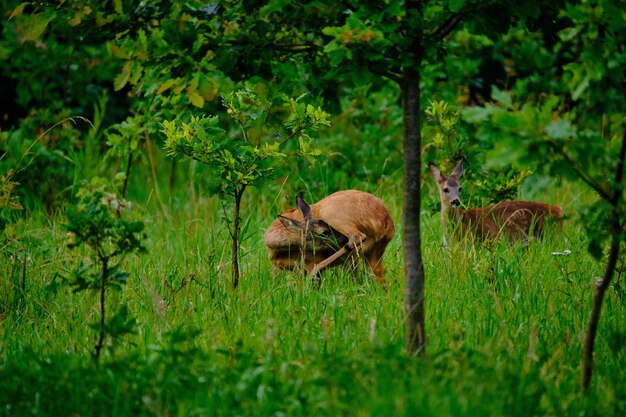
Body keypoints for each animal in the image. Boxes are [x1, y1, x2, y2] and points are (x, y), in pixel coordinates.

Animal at [260, 189, 392, 282]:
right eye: (324, 233)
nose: (343, 239)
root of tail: (385, 219)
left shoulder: (310, 261)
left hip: (331, 213)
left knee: (357, 237)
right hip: (374, 253)